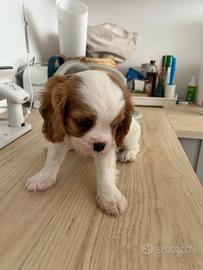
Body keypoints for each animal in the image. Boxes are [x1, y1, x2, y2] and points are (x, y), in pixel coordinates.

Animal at [26, 70, 140, 216]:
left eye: (115, 125)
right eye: (83, 122)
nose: (99, 146)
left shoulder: (108, 146)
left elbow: (106, 173)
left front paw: (110, 197)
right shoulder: (62, 136)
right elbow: (52, 160)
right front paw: (43, 177)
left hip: (131, 133)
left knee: (135, 145)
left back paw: (128, 154)